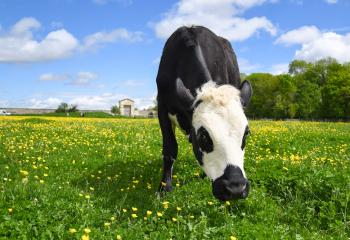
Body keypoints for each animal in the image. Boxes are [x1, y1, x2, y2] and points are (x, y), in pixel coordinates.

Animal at [156, 25, 252, 201]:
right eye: (203, 135)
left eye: (246, 133)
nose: (235, 188)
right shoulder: (162, 106)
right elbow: (170, 149)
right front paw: (165, 188)